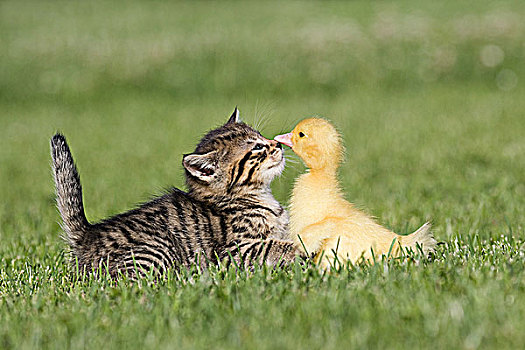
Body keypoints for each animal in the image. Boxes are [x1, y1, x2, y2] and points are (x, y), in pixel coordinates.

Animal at [52, 108, 302, 278]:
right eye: (257, 147)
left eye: (262, 137)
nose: (278, 144)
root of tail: (87, 235)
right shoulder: (235, 251)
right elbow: (276, 245)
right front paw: (304, 250)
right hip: (157, 249)